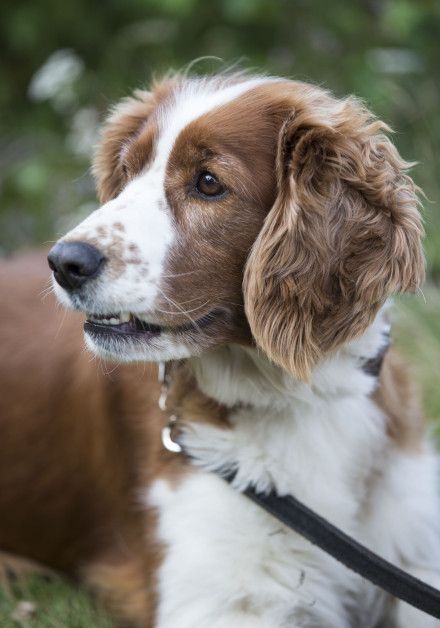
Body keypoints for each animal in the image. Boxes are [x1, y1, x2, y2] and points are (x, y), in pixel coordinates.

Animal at [0, 71, 440, 624]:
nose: (64, 262)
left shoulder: (414, 555)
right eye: (128, 171)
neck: (298, 399)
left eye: (208, 182)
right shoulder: (226, 600)